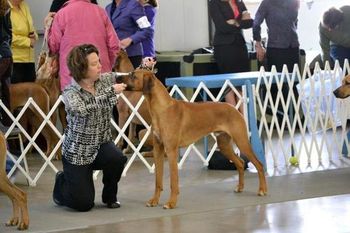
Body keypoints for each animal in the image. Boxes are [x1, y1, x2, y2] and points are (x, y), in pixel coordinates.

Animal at [118, 69, 268, 209]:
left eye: (133, 75)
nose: (117, 77)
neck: (162, 109)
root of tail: (234, 108)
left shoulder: (171, 151)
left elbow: (173, 181)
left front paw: (171, 203)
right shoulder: (158, 150)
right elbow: (158, 181)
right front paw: (154, 200)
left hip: (242, 141)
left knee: (259, 164)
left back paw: (262, 190)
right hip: (224, 145)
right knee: (241, 163)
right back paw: (240, 187)